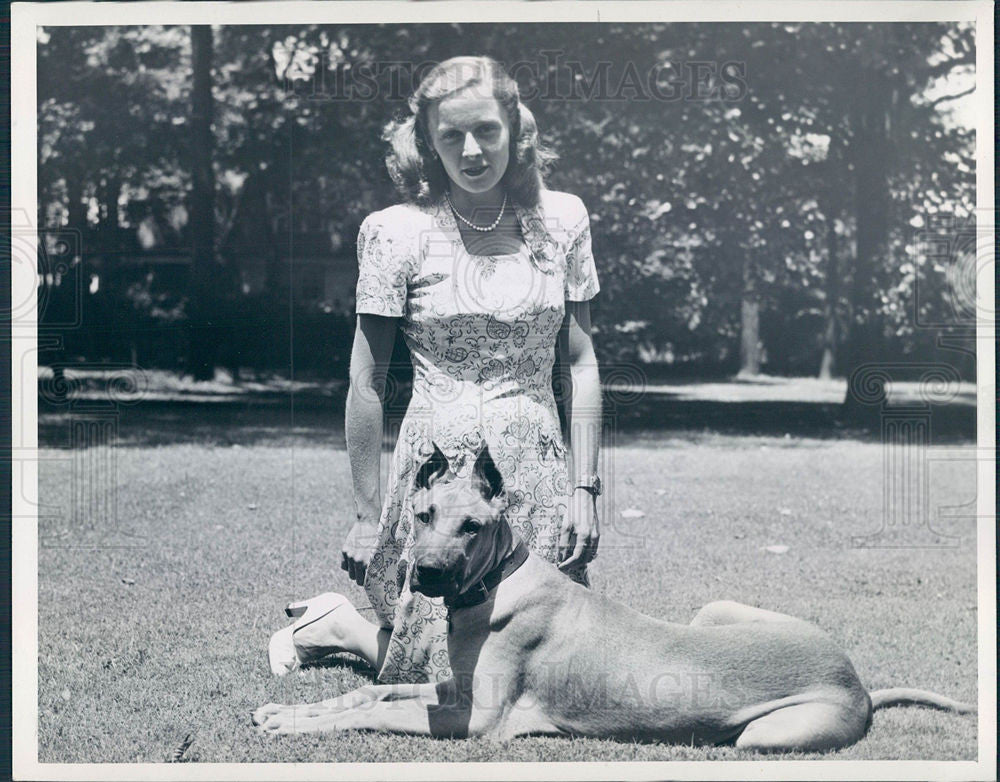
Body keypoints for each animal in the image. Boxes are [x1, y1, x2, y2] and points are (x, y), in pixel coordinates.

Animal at [252, 448, 976, 752]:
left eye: (472, 527)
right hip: (715, 609)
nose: (425, 575)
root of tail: (856, 681)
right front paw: (289, 711)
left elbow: (375, 709)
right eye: (424, 513)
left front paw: (296, 723)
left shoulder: (475, 719)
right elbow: (370, 693)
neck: (496, 582)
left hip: (766, 735)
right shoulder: (451, 689)